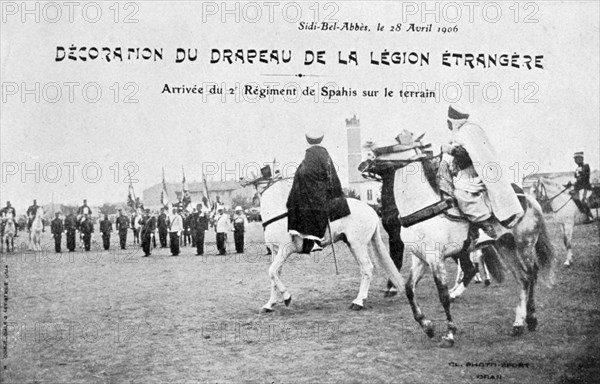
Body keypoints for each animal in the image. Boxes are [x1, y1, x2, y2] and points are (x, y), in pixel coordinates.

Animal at [255, 176, 406, 314]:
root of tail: (372, 211)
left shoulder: (285, 250)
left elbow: (272, 272)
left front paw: (287, 298)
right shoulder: (275, 251)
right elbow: (275, 275)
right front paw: (269, 304)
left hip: (358, 245)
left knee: (367, 268)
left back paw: (358, 302)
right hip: (352, 245)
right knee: (364, 269)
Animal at [386, 140, 556, 346]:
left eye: (385, 150)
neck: (425, 207)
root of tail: (530, 199)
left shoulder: (436, 259)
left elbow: (443, 296)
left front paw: (450, 334)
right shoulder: (420, 259)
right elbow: (409, 289)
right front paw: (427, 326)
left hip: (525, 244)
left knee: (531, 274)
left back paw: (530, 319)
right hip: (505, 246)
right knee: (523, 278)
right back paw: (519, 324)